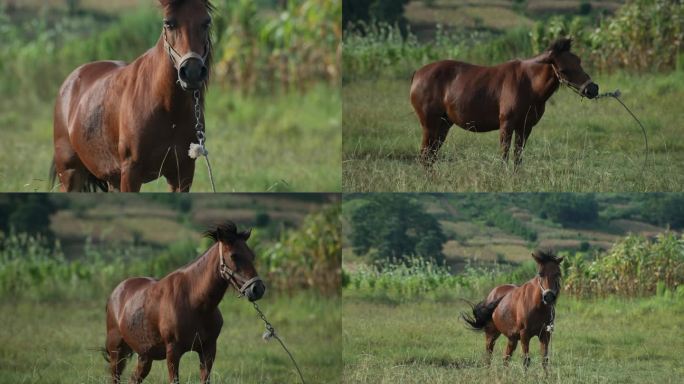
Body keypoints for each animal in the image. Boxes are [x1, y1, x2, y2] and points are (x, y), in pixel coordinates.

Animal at [52, 0, 214, 192]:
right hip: (70, 175)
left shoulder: (182, 173)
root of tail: (69, 82)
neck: (167, 108)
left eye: (206, 22)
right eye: (168, 23)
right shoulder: (130, 173)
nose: (192, 73)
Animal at [104, 222, 264, 384]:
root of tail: (116, 292)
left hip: (145, 356)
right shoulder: (173, 353)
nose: (257, 289)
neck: (194, 302)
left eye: (252, 255)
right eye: (234, 255)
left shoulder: (208, 350)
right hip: (117, 352)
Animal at [412, 37, 600, 166]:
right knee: (425, 156)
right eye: (563, 69)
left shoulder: (525, 128)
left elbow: (518, 157)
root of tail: (417, 74)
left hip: (443, 125)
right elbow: (504, 155)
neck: (528, 83)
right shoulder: (507, 125)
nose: (593, 89)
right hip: (430, 125)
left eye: (579, 61)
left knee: (431, 156)